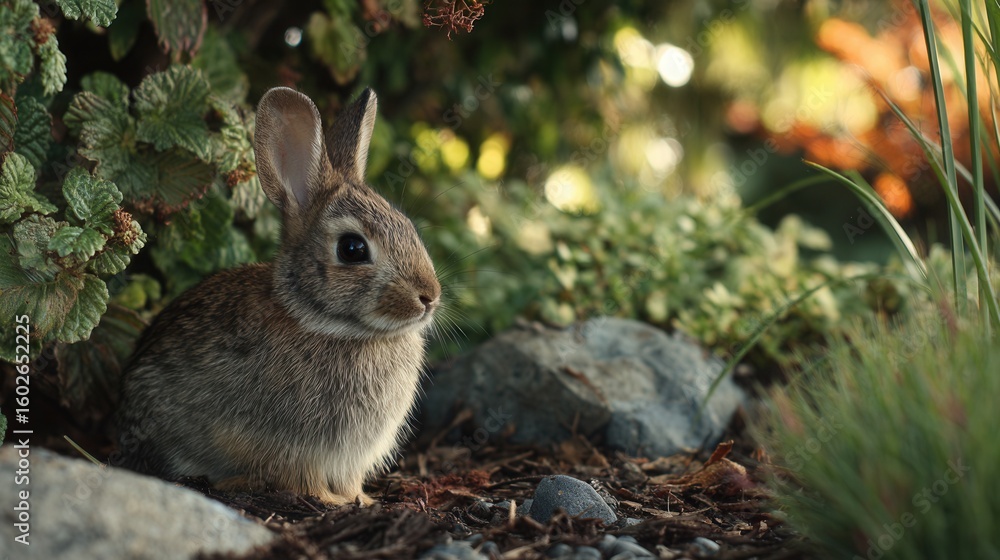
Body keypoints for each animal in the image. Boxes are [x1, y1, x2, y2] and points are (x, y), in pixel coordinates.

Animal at [115, 87, 441, 506]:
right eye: (352, 249)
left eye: (407, 226)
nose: (429, 296)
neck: (325, 322)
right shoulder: (295, 446)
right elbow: (302, 478)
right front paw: (332, 501)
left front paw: (362, 500)